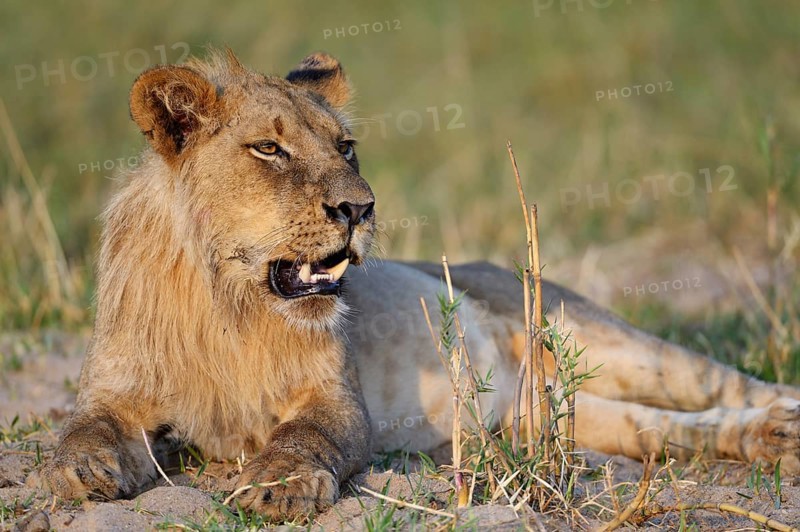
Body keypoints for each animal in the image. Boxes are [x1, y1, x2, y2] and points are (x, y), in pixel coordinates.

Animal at [40, 49, 800, 520]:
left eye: (345, 148)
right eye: (270, 149)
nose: (358, 208)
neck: (230, 303)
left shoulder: (337, 398)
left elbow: (304, 437)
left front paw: (278, 488)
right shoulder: (114, 390)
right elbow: (83, 428)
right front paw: (83, 470)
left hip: (589, 331)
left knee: (723, 382)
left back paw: (783, 419)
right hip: (543, 417)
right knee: (662, 428)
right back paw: (770, 439)